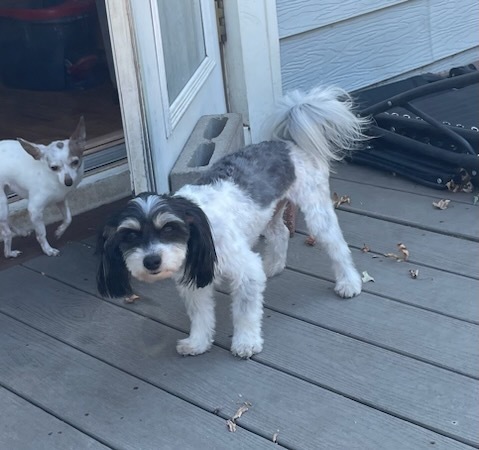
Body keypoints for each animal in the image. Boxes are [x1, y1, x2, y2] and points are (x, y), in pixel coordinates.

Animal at [0, 118, 86, 258]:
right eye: (54, 167)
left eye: (75, 162)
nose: (68, 182)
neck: (52, 179)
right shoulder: (34, 210)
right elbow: (41, 234)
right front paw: (48, 250)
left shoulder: (61, 200)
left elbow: (68, 218)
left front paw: (59, 231)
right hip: (2, 202)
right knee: (6, 232)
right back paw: (9, 253)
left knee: (7, 219)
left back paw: (20, 232)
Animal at [96, 86, 368, 356]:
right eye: (130, 236)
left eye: (169, 228)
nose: (151, 261)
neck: (201, 234)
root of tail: (287, 144)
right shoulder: (193, 280)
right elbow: (201, 316)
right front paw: (197, 342)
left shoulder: (245, 273)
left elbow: (245, 313)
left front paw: (246, 342)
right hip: (270, 213)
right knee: (280, 232)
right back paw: (273, 266)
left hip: (316, 212)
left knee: (337, 246)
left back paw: (349, 282)